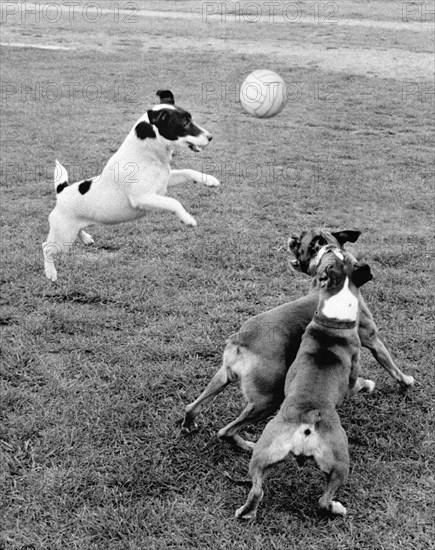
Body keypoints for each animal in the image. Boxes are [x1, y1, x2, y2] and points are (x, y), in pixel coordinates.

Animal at [42, 90, 220, 282]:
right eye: (185, 123)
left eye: (190, 119)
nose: (210, 137)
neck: (147, 154)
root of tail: (62, 192)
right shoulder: (142, 198)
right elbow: (174, 202)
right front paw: (187, 219)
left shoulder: (164, 182)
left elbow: (188, 172)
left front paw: (209, 180)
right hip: (63, 238)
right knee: (46, 247)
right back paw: (50, 272)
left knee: (77, 231)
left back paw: (86, 238)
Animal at [235, 248, 374, 520]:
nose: (329, 248)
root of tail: (307, 417)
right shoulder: (352, 379)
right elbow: (360, 383)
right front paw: (370, 384)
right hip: (340, 461)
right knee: (324, 499)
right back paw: (337, 508)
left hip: (263, 455)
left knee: (257, 489)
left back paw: (245, 512)